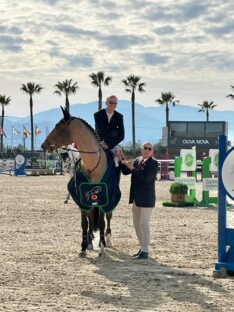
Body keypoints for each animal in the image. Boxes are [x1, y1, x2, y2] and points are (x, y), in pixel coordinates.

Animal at [40, 107, 120, 256]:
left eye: (59, 127)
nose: (44, 145)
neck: (91, 164)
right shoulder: (82, 198)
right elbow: (85, 222)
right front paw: (83, 246)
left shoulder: (103, 198)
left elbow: (101, 222)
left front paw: (101, 247)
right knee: (91, 217)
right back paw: (91, 241)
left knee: (108, 217)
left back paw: (107, 240)